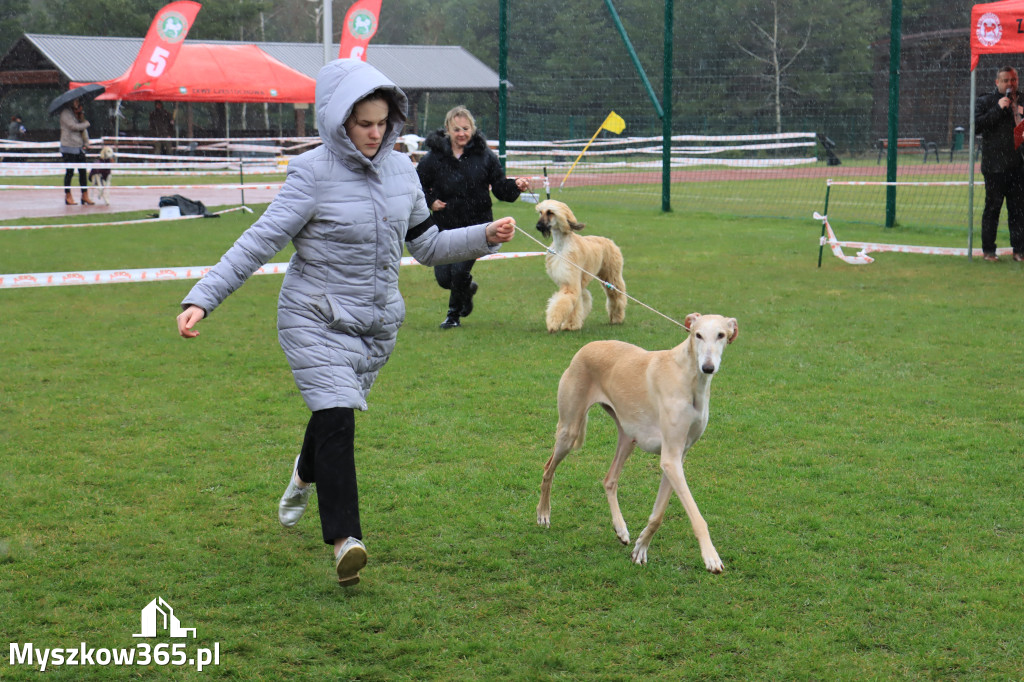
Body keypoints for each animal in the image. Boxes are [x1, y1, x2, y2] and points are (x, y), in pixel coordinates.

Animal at [536, 199, 622, 331]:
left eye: (550, 212)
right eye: (541, 212)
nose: (538, 226)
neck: (561, 245)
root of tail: (610, 241)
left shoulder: (571, 281)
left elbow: (564, 301)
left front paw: (555, 323)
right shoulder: (571, 281)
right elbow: (576, 301)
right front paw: (571, 324)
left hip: (611, 275)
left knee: (616, 295)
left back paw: (617, 318)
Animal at [536, 313, 737, 573]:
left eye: (721, 334)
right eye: (698, 335)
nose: (708, 367)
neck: (688, 376)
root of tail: (586, 347)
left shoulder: (676, 458)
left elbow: (658, 515)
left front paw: (641, 547)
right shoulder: (671, 459)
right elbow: (696, 515)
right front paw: (711, 556)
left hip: (627, 436)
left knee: (609, 480)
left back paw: (620, 528)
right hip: (569, 431)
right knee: (548, 469)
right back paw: (543, 513)